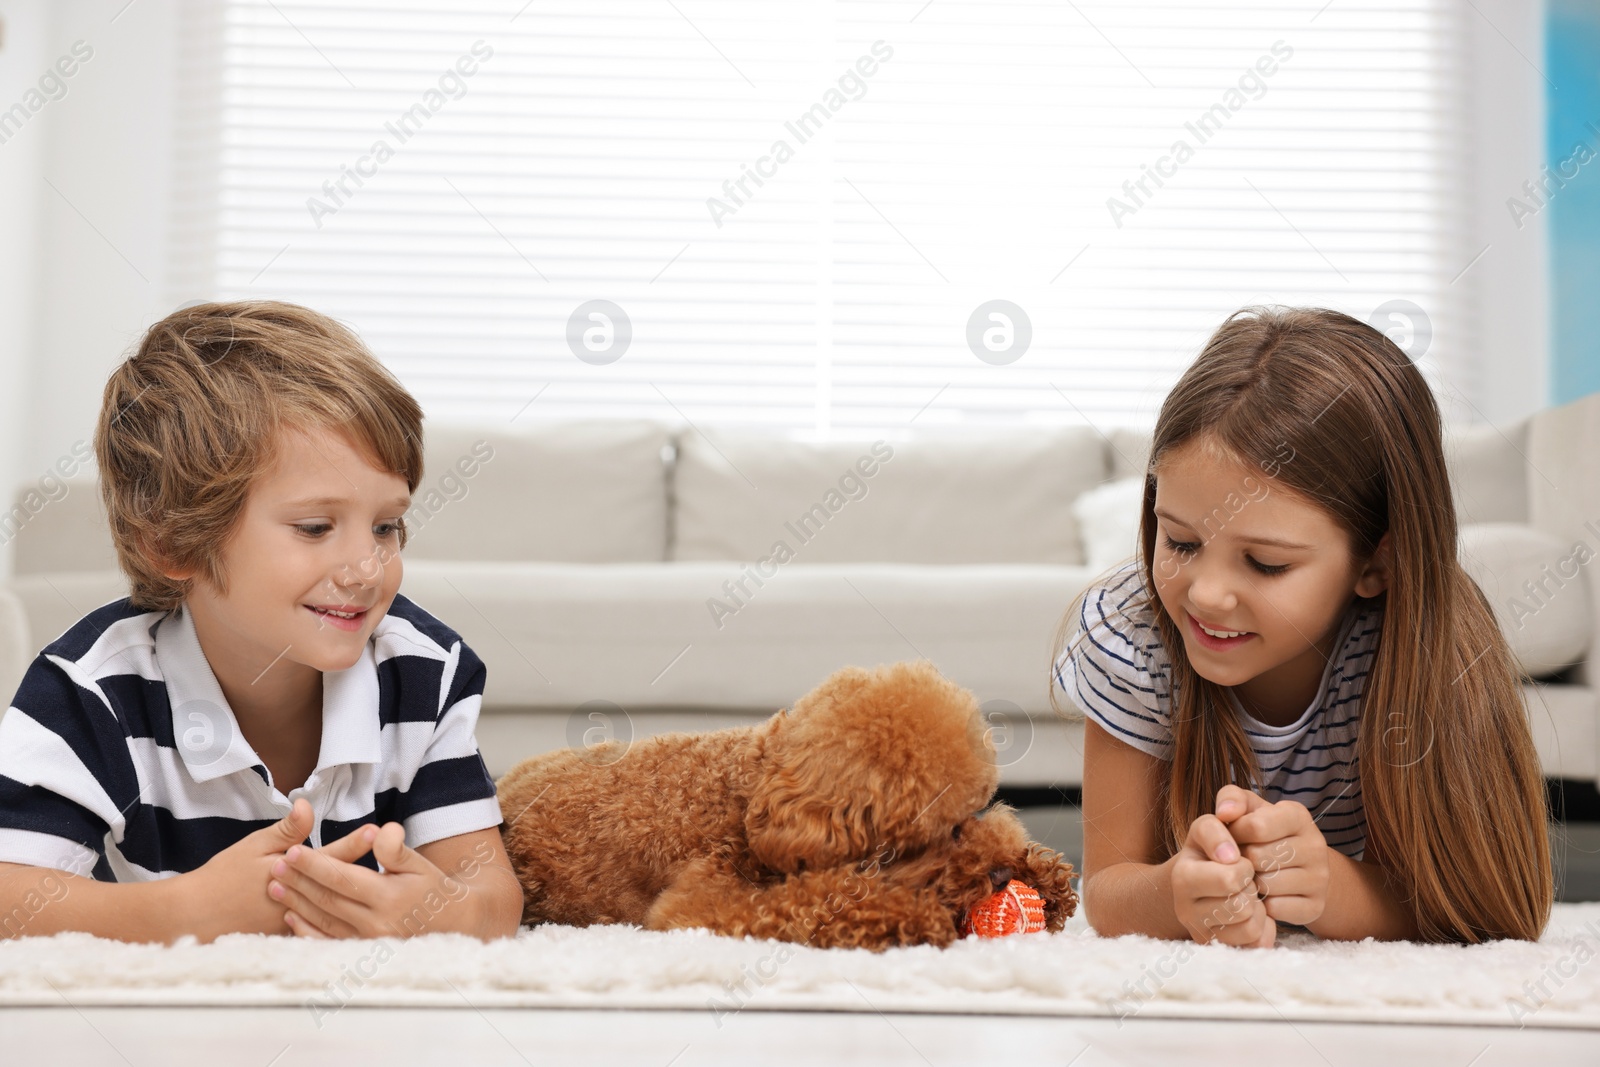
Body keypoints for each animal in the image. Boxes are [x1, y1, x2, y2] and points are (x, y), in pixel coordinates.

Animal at [499, 659, 1075, 953]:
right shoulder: (696, 905)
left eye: (978, 809)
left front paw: (1045, 877)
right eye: (935, 834)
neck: (751, 792)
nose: (1000, 875)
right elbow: (812, 902)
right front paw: (910, 917)